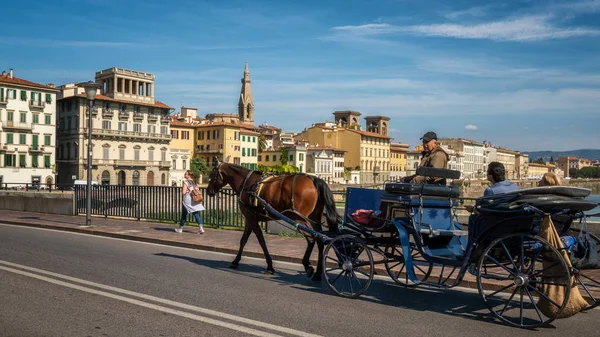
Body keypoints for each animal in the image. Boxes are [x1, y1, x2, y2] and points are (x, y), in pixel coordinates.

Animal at [206, 156, 340, 280]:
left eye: (211, 174)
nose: (208, 191)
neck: (246, 183)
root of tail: (313, 179)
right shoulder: (250, 219)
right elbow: (243, 240)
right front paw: (236, 261)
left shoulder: (251, 219)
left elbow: (261, 241)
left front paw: (270, 266)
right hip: (315, 219)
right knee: (320, 241)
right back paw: (318, 273)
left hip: (298, 218)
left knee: (311, 239)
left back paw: (307, 265)